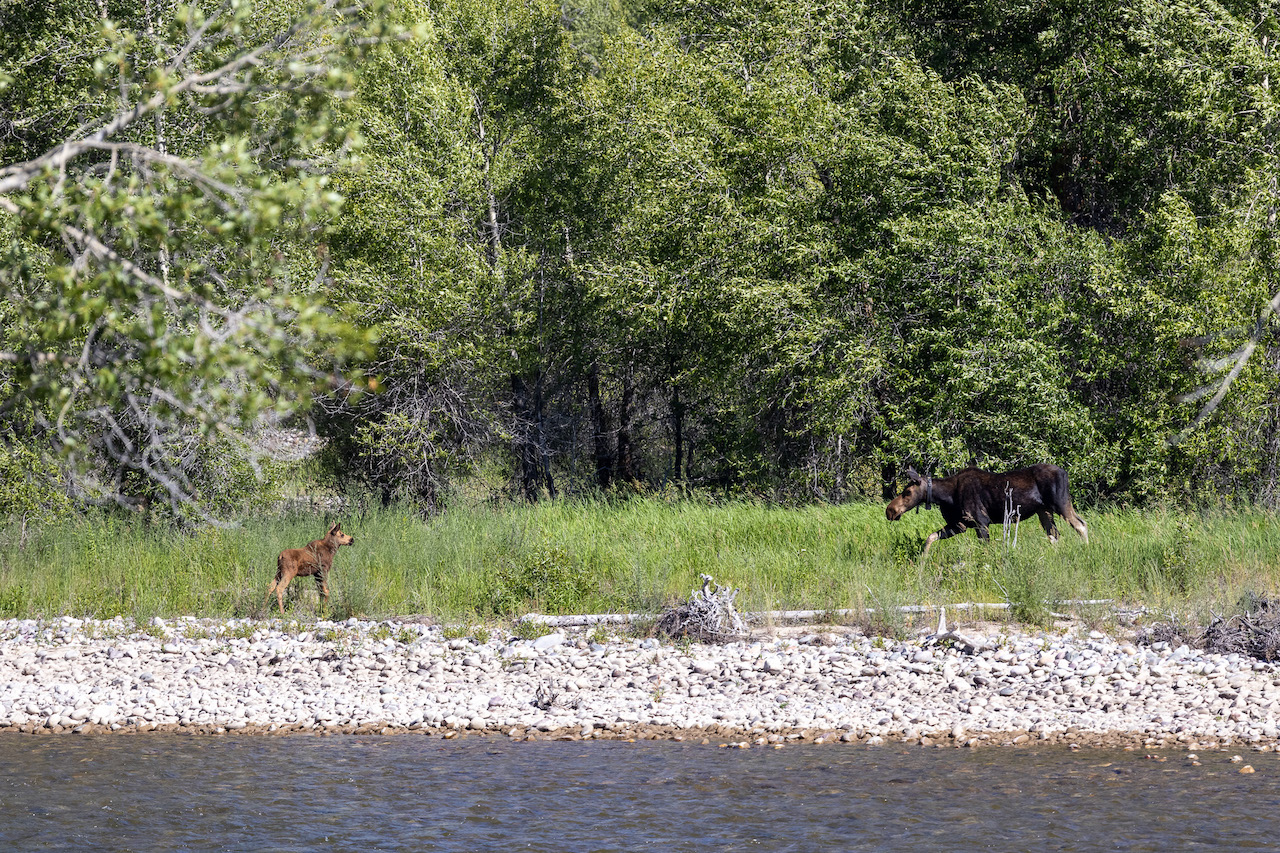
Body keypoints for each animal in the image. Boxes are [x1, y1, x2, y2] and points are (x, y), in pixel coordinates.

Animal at [885, 463, 1088, 556]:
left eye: (907, 492)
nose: (890, 511)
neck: (946, 496)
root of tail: (1065, 473)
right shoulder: (961, 524)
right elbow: (930, 537)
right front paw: (923, 560)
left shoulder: (981, 522)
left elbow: (986, 551)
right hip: (1044, 511)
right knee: (1055, 535)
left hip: (1060, 504)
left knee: (1080, 525)